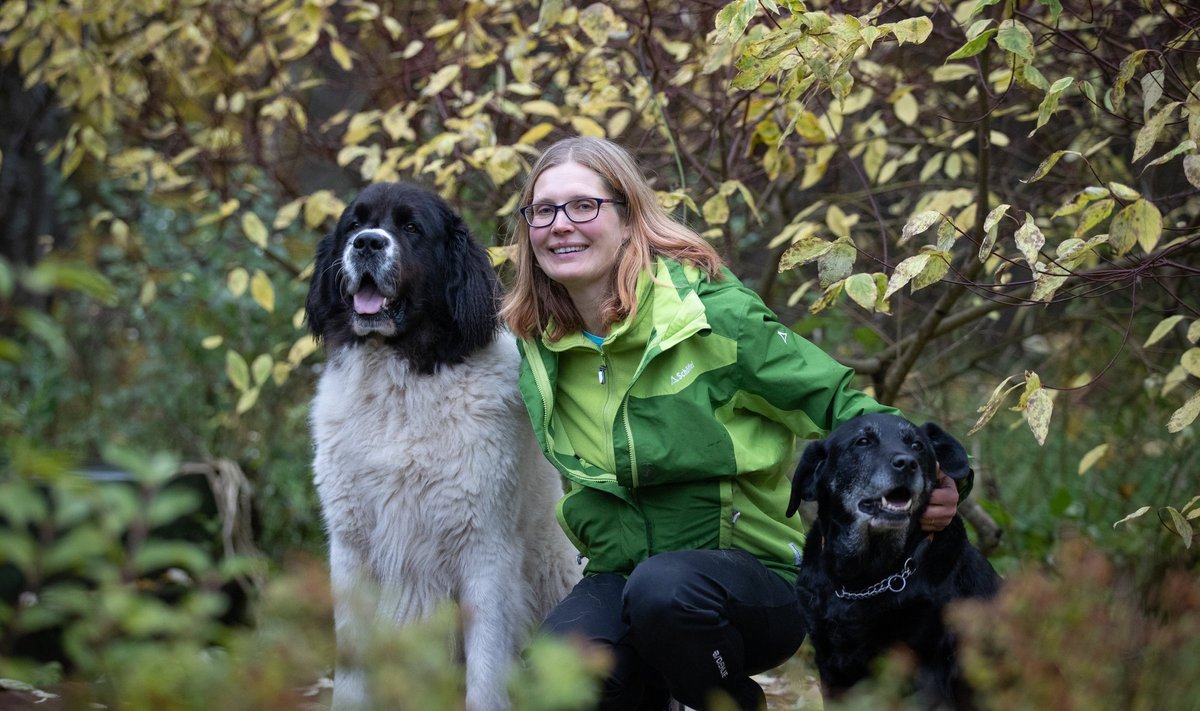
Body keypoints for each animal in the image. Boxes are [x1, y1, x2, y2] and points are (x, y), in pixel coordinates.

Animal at [304, 183, 576, 711]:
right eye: (354, 224)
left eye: (411, 228)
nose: (367, 244)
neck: (403, 380)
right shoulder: (351, 547)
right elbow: (351, 668)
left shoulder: (485, 551)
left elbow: (486, 674)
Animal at [787, 413, 1003, 706]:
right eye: (863, 441)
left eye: (917, 446)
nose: (907, 463)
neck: (864, 577)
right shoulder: (832, 670)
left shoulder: (925, 672)